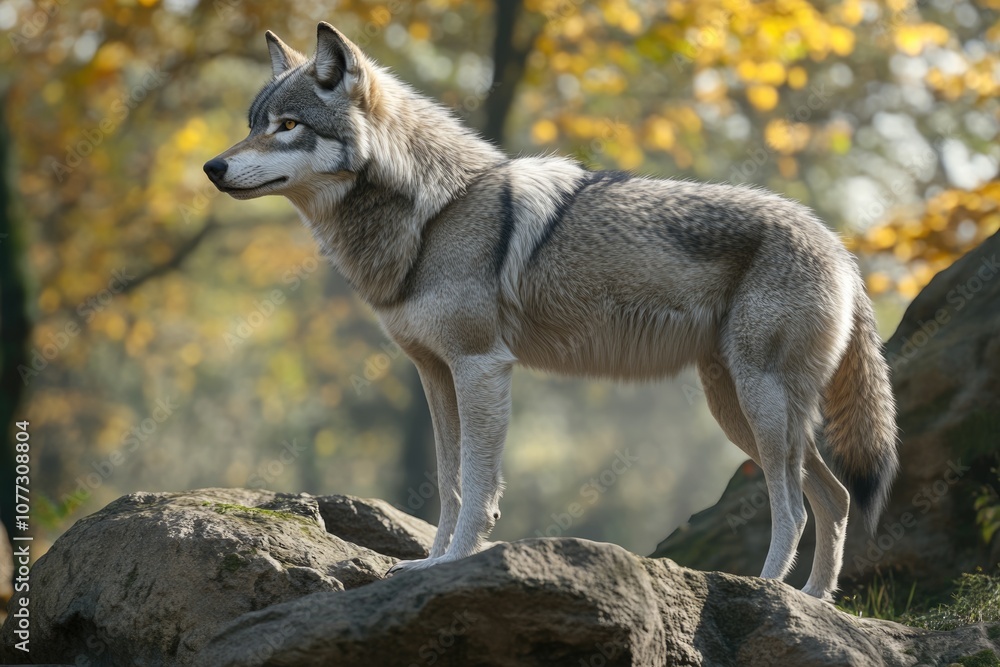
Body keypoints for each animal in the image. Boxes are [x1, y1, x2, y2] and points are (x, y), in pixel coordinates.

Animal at [204, 22, 898, 601]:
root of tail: (839, 246)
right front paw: (430, 565)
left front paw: (455, 563)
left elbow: (478, 489)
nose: (212, 166)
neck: (434, 211)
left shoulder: (481, 366)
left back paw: (768, 589)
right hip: (739, 408)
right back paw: (814, 600)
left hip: (760, 407)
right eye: (254, 122)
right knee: (836, 499)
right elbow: (448, 483)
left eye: (288, 125)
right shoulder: (435, 374)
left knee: (797, 507)